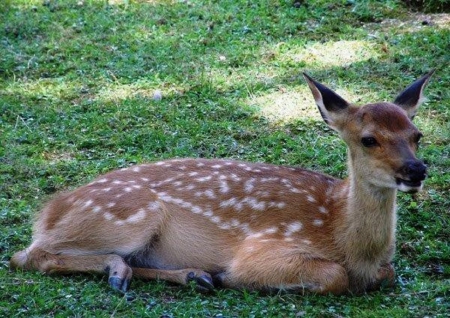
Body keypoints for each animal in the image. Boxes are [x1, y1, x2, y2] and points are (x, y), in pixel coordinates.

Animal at [9, 71, 432, 294]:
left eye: (417, 135)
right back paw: (126, 271)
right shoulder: (264, 248)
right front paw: (232, 278)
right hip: (129, 217)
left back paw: (192, 275)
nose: (416, 170)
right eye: (368, 139)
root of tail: (50, 210)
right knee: (27, 256)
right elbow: (334, 276)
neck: (341, 232)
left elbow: (388, 273)